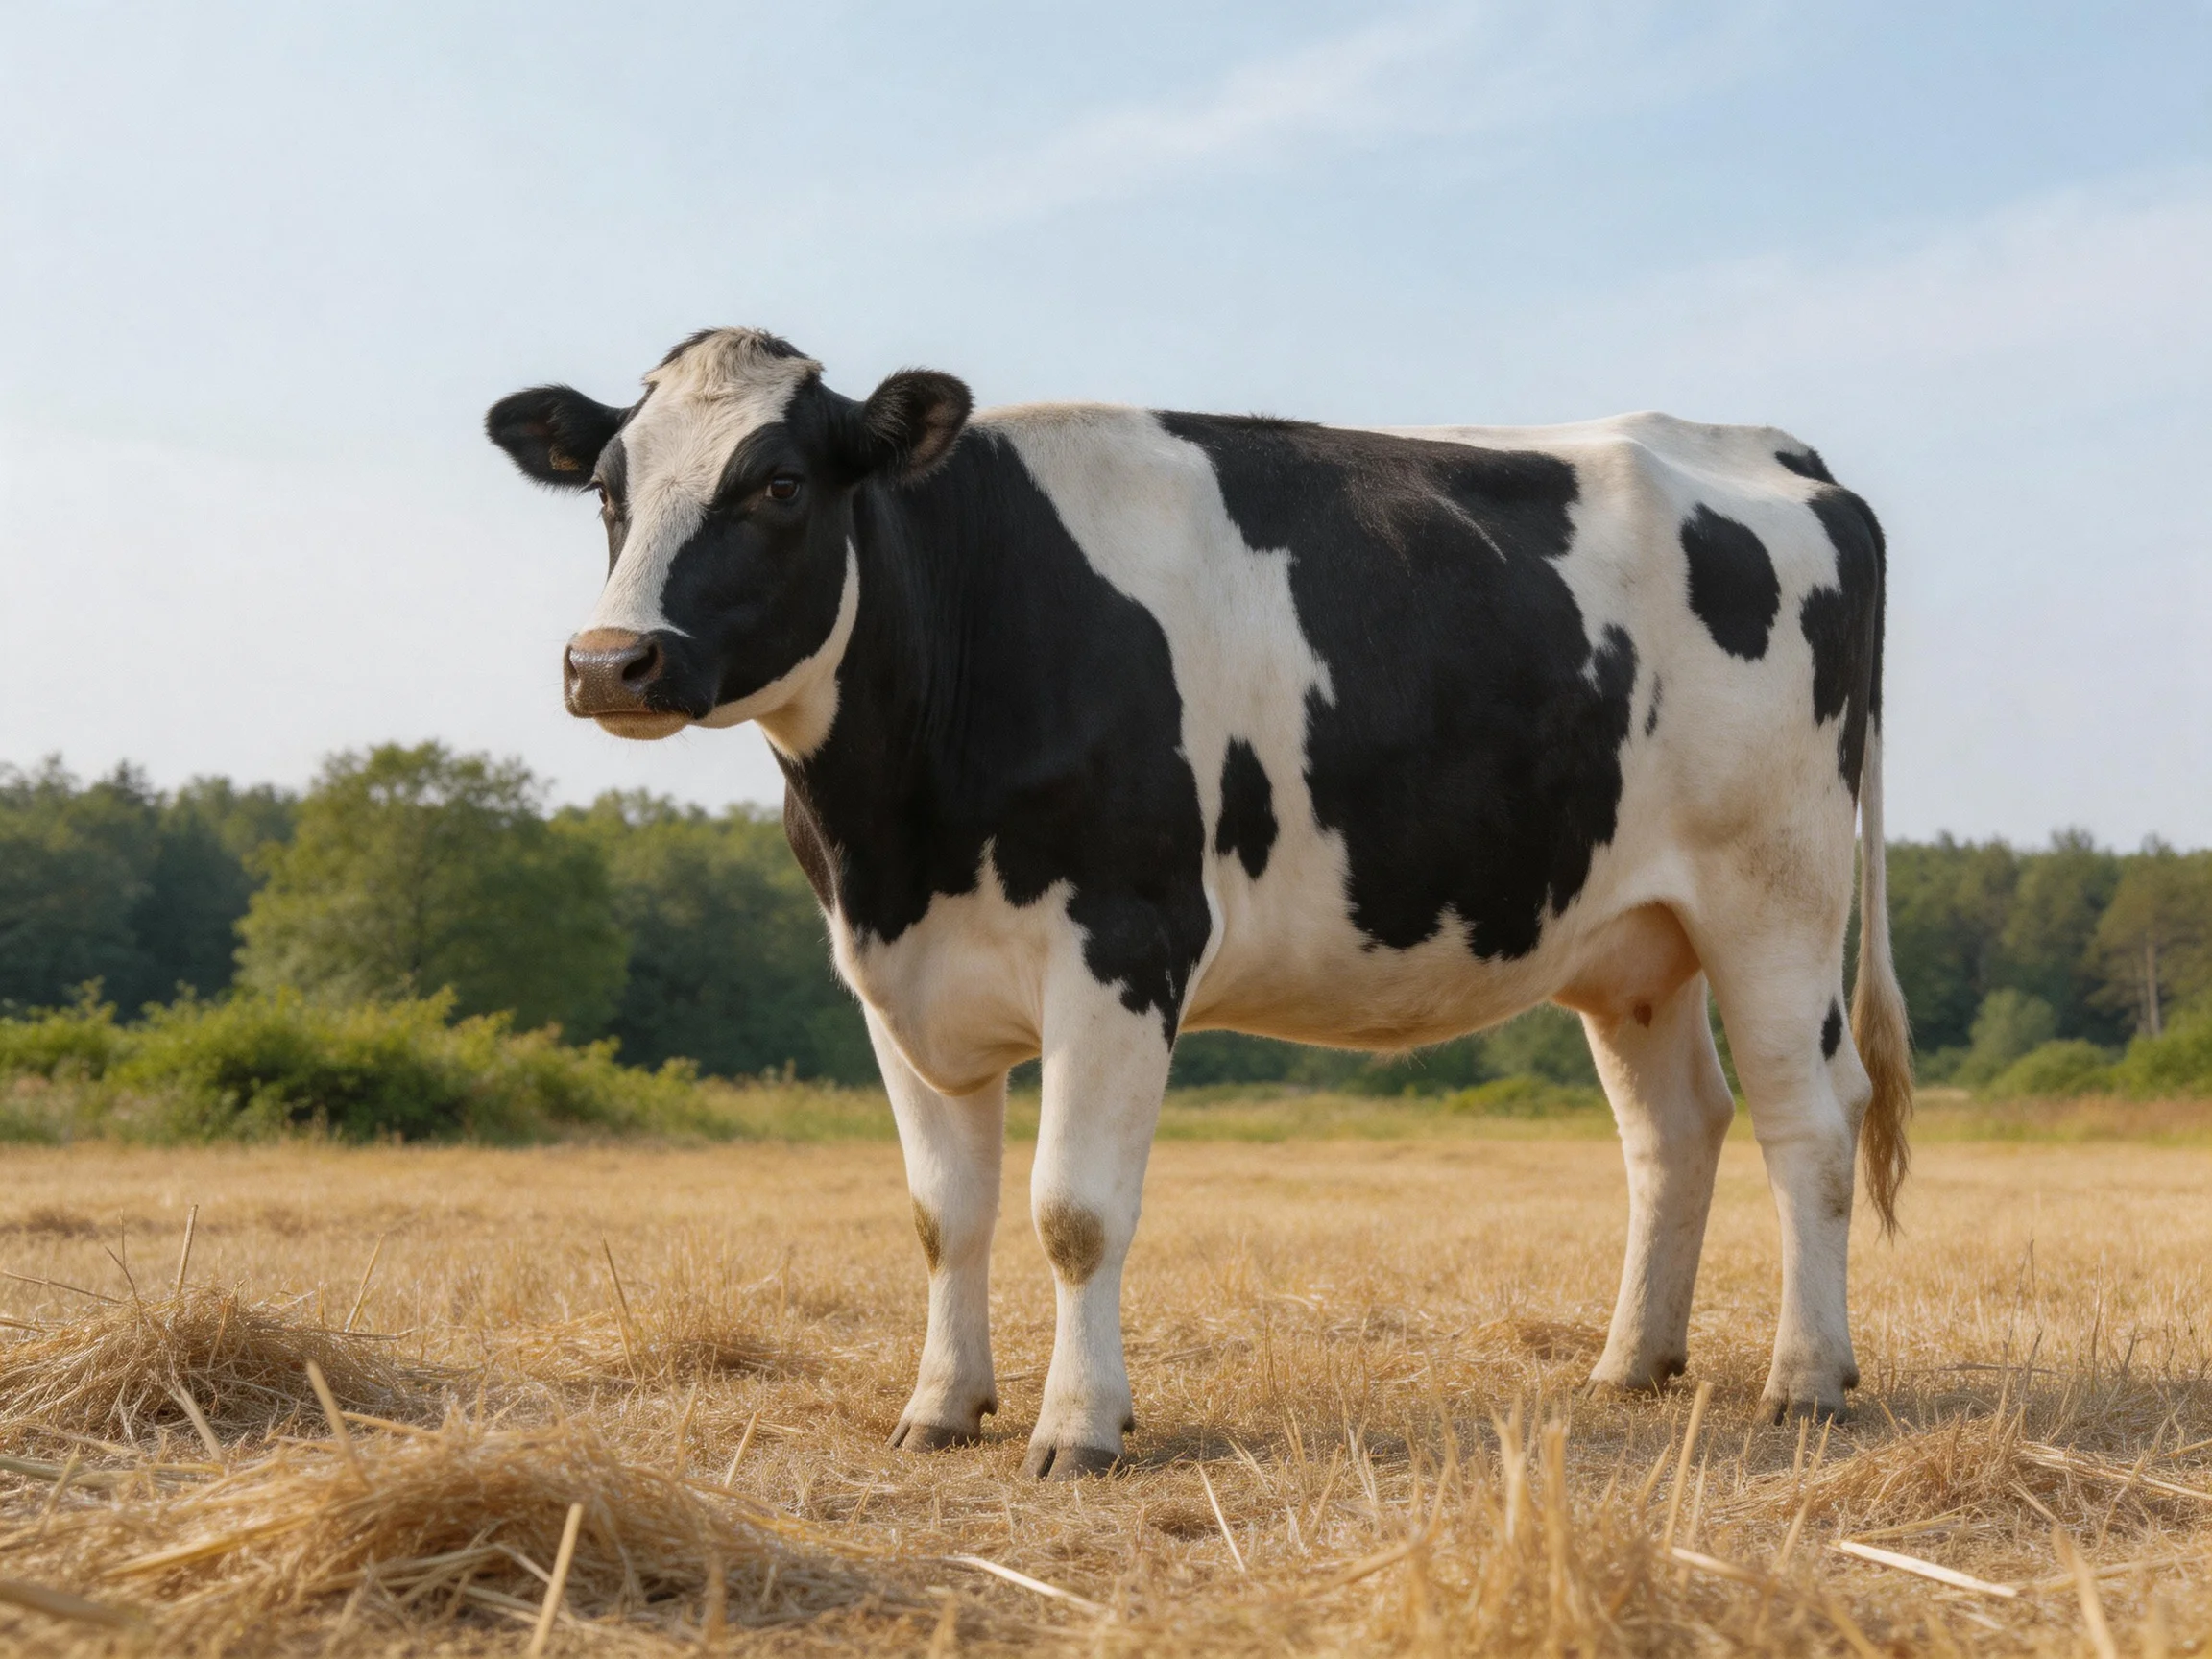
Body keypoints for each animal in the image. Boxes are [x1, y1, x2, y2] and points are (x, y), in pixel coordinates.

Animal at [487, 328, 1913, 1477]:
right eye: (609, 489)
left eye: (779, 484)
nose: (609, 663)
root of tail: (1769, 448)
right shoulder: (895, 977)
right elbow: (944, 1217)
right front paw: (941, 1408)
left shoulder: (1124, 943)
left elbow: (1072, 1212)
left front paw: (1079, 1429)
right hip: (1632, 940)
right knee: (1676, 1131)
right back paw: (1632, 1365)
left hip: (1775, 893)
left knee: (1810, 1122)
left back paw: (1806, 1380)